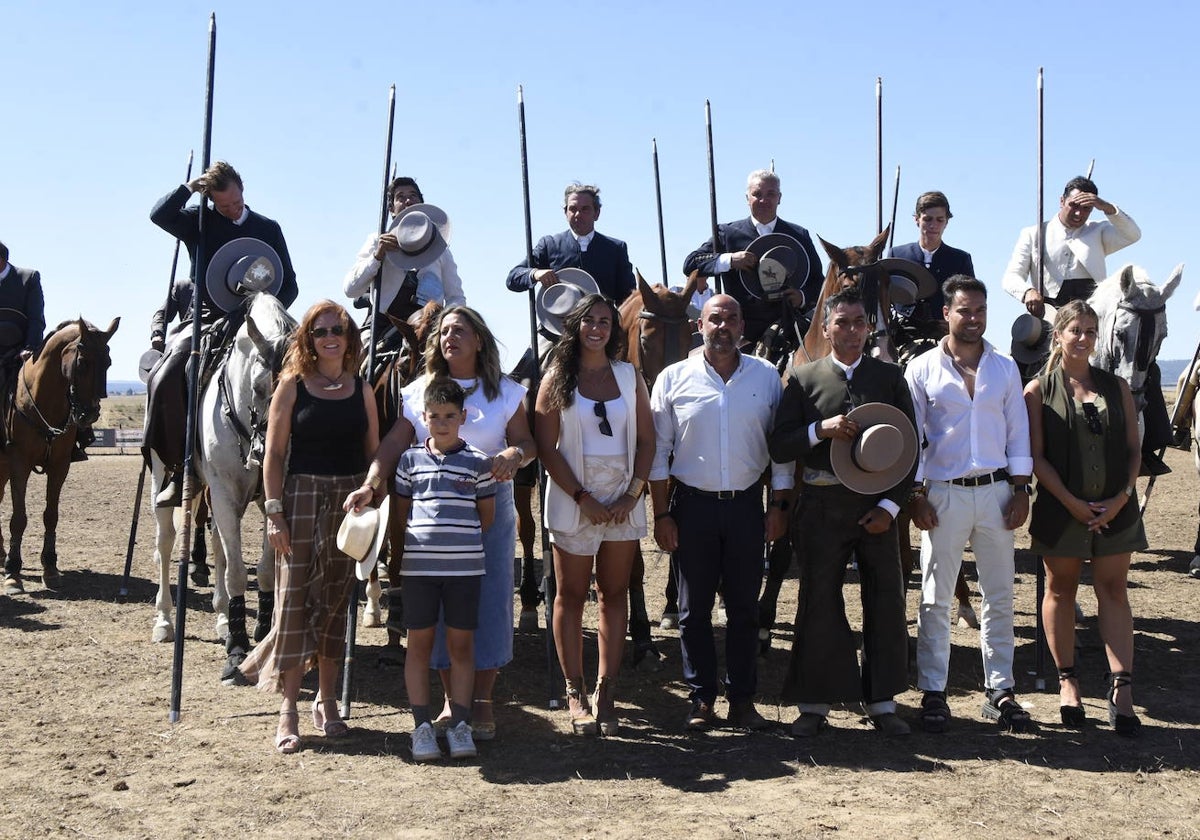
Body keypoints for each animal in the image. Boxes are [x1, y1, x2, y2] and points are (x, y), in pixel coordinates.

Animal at [1, 316, 119, 597]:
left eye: (108, 362)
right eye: (82, 362)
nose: (89, 414)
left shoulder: (59, 465)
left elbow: (51, 515)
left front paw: (50, 568)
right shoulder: (19, 464)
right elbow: (18, 518)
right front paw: (13, 572)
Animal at [147, 291, 295, 686]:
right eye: (259, 388)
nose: (268, 454)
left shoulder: (269, 499)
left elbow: (262, 569)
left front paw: (260, 631)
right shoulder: (226, 494)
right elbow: (236, 571)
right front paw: (237, 651)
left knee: (216, 544)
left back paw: (224, 617)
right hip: (163, 477)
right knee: (166, 543)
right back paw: (164, 620)